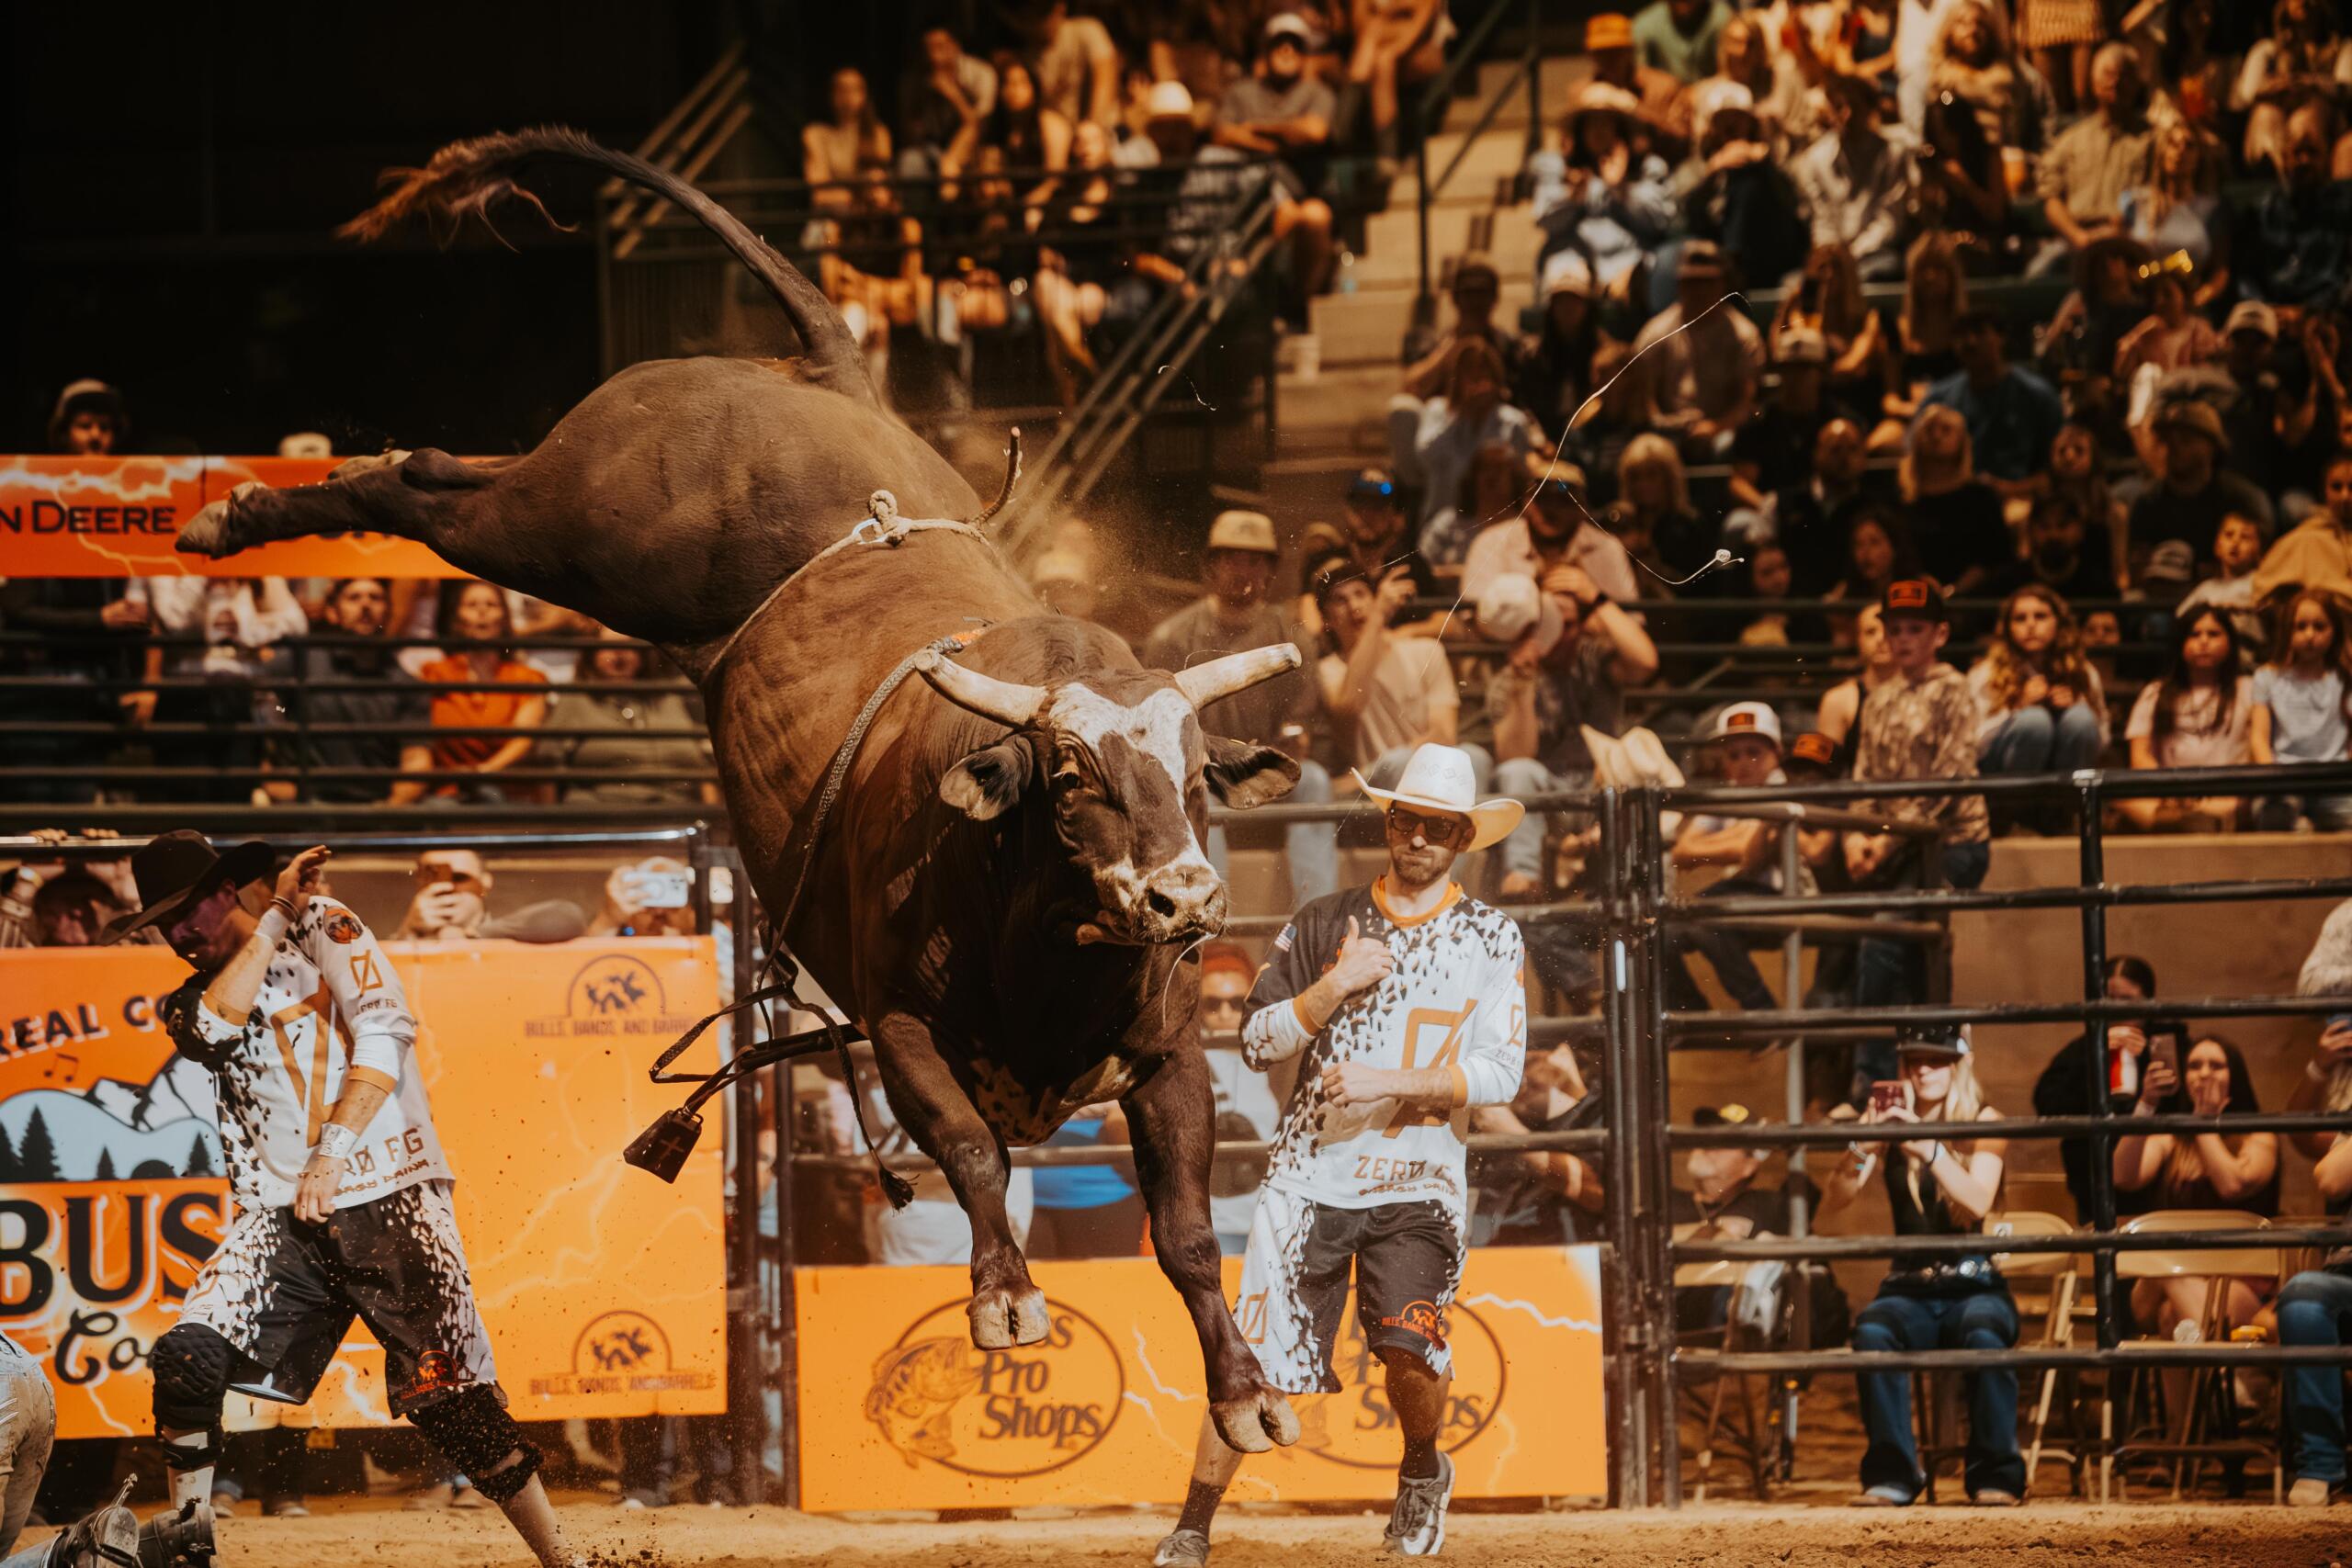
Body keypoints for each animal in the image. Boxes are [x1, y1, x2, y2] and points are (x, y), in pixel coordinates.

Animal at [173, 128, 1305, 1454]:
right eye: (1073, 777)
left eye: (1197, 775)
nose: (1185, 899)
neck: (1039, 933)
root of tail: (827, 376)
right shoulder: (899, 1024)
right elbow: (971, 1150)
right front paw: (1006, 1301)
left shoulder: (1169, 1055)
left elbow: (1185, 1234)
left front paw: (1244, 1390)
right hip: (581, 525)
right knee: (427, 480)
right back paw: (233, 511)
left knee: (442, 470)